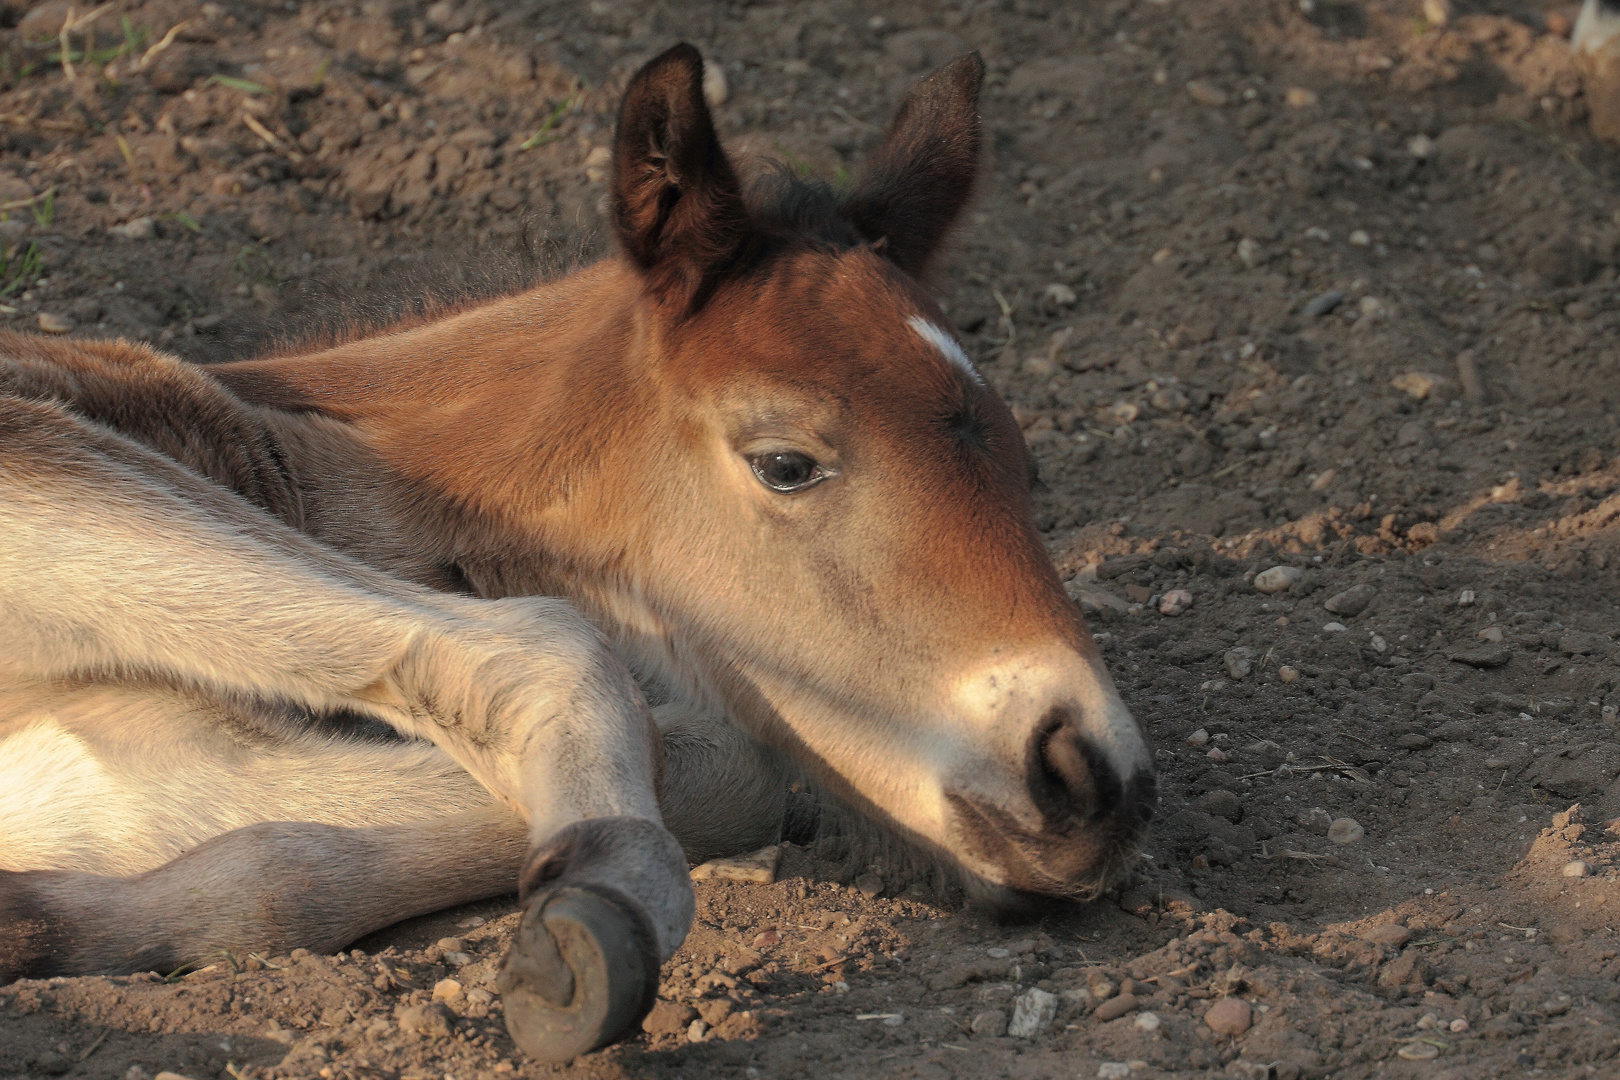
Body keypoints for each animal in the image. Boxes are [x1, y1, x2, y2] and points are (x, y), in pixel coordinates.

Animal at [6, 46, 1159, 1062]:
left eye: (1023, 465)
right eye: (786, 463)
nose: (1091, 775)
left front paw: (40, 914)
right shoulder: (36, 450)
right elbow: (558, 656)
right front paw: (597, 909)